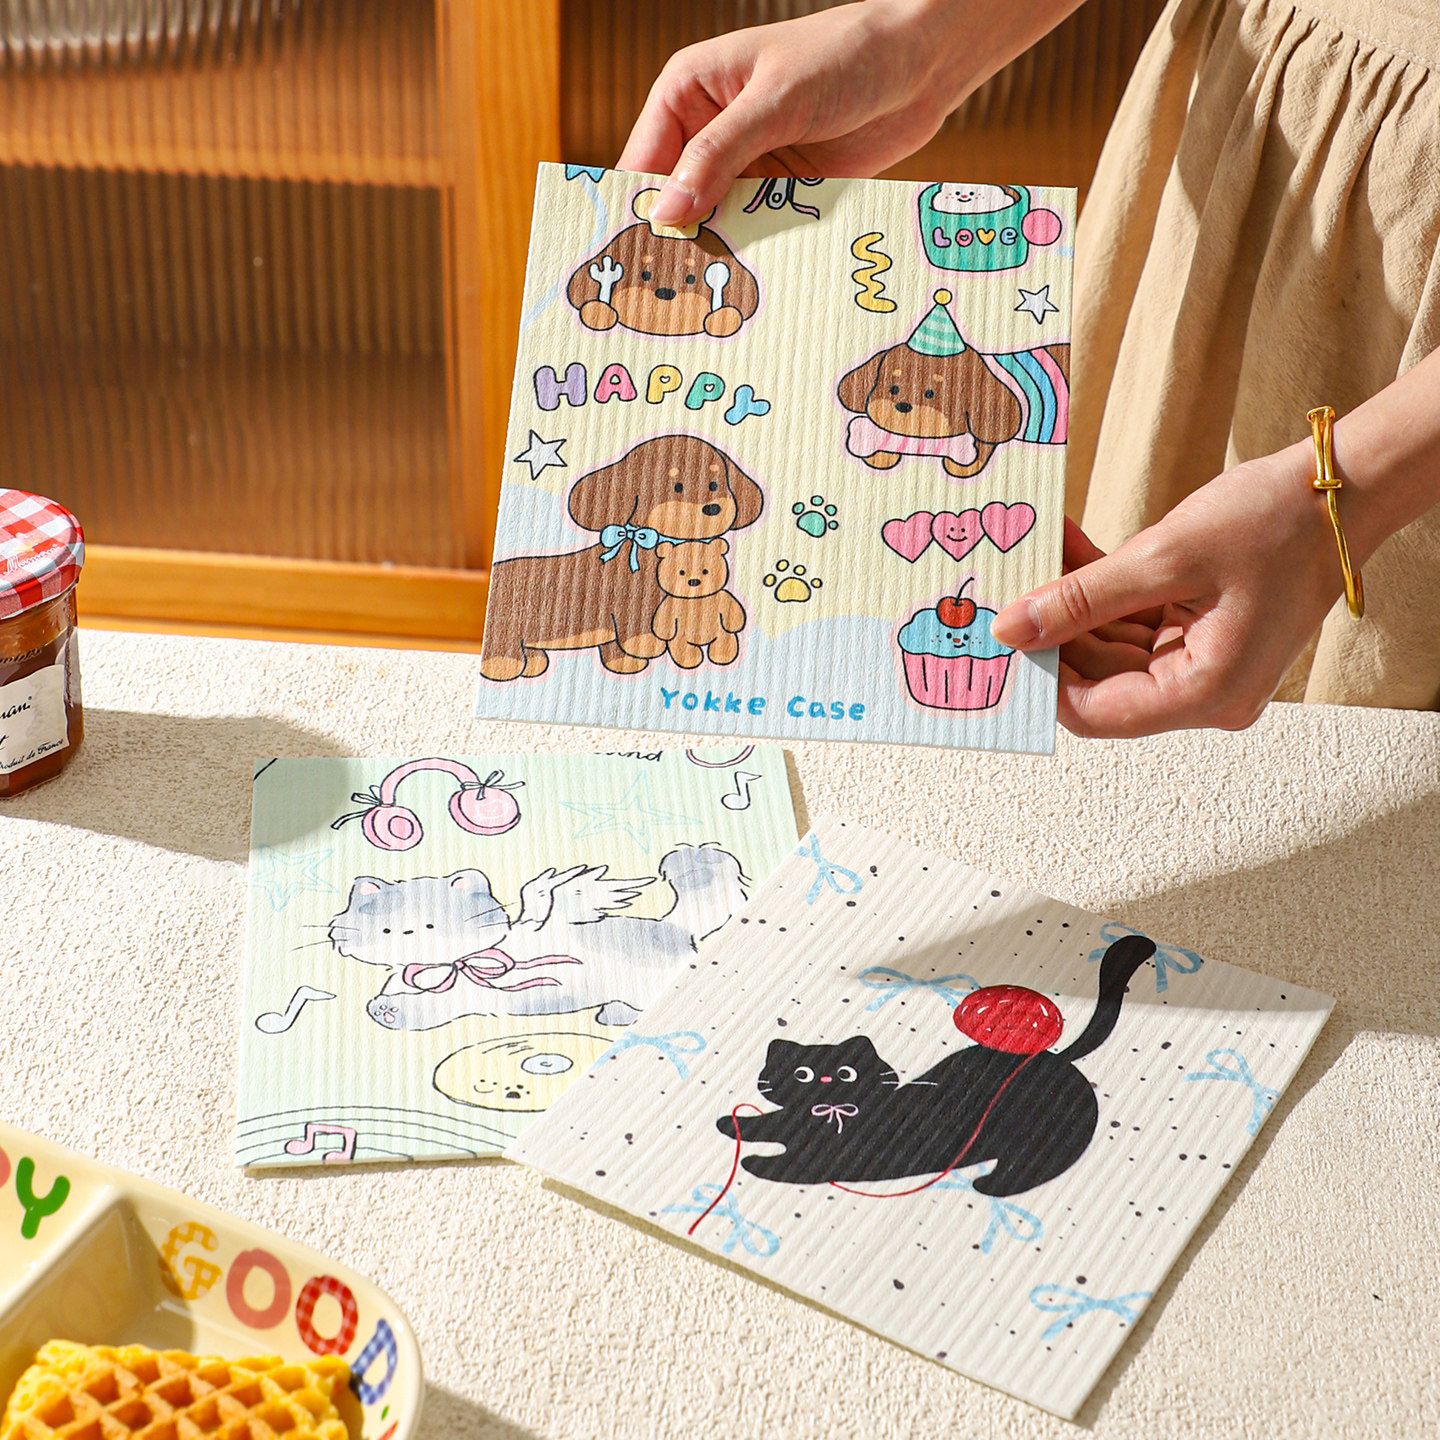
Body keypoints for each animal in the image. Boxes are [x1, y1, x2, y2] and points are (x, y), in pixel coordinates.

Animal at [329, 843, 748, 1031]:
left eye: (434, 926)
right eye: (387, 930)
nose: (410, 934)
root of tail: (675, 928)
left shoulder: (456, 1001)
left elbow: (419, 1010)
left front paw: (390, 1010)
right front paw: (382, 1003)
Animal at [481, 435, 764, 680]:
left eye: (715, 484)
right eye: (677, 486)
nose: (712, 508)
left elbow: (616, 647)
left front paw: (626, 663)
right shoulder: (629, 609)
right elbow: (636, 630)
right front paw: (647, 644)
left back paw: (533, 665)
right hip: (502, 628)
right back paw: (502, 666)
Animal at [716, 933, 1156, 1197]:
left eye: (847, 1073)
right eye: (802, 1074)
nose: (826, 1078)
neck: (827, 1117)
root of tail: (1053, 1058)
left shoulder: (834, 1159)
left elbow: (788, 1165)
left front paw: (754, 1161)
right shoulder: (790, 1121)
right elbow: (769, 1121)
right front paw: (731, 1123)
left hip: (1050, 1140)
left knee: (1033, 1168)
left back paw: (990, 1186)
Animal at [837, 290, 1069, 480]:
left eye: (931, 393)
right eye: (893, 389)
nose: (902, 406)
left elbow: (978, 454)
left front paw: (956, 466)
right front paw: (883, 456)